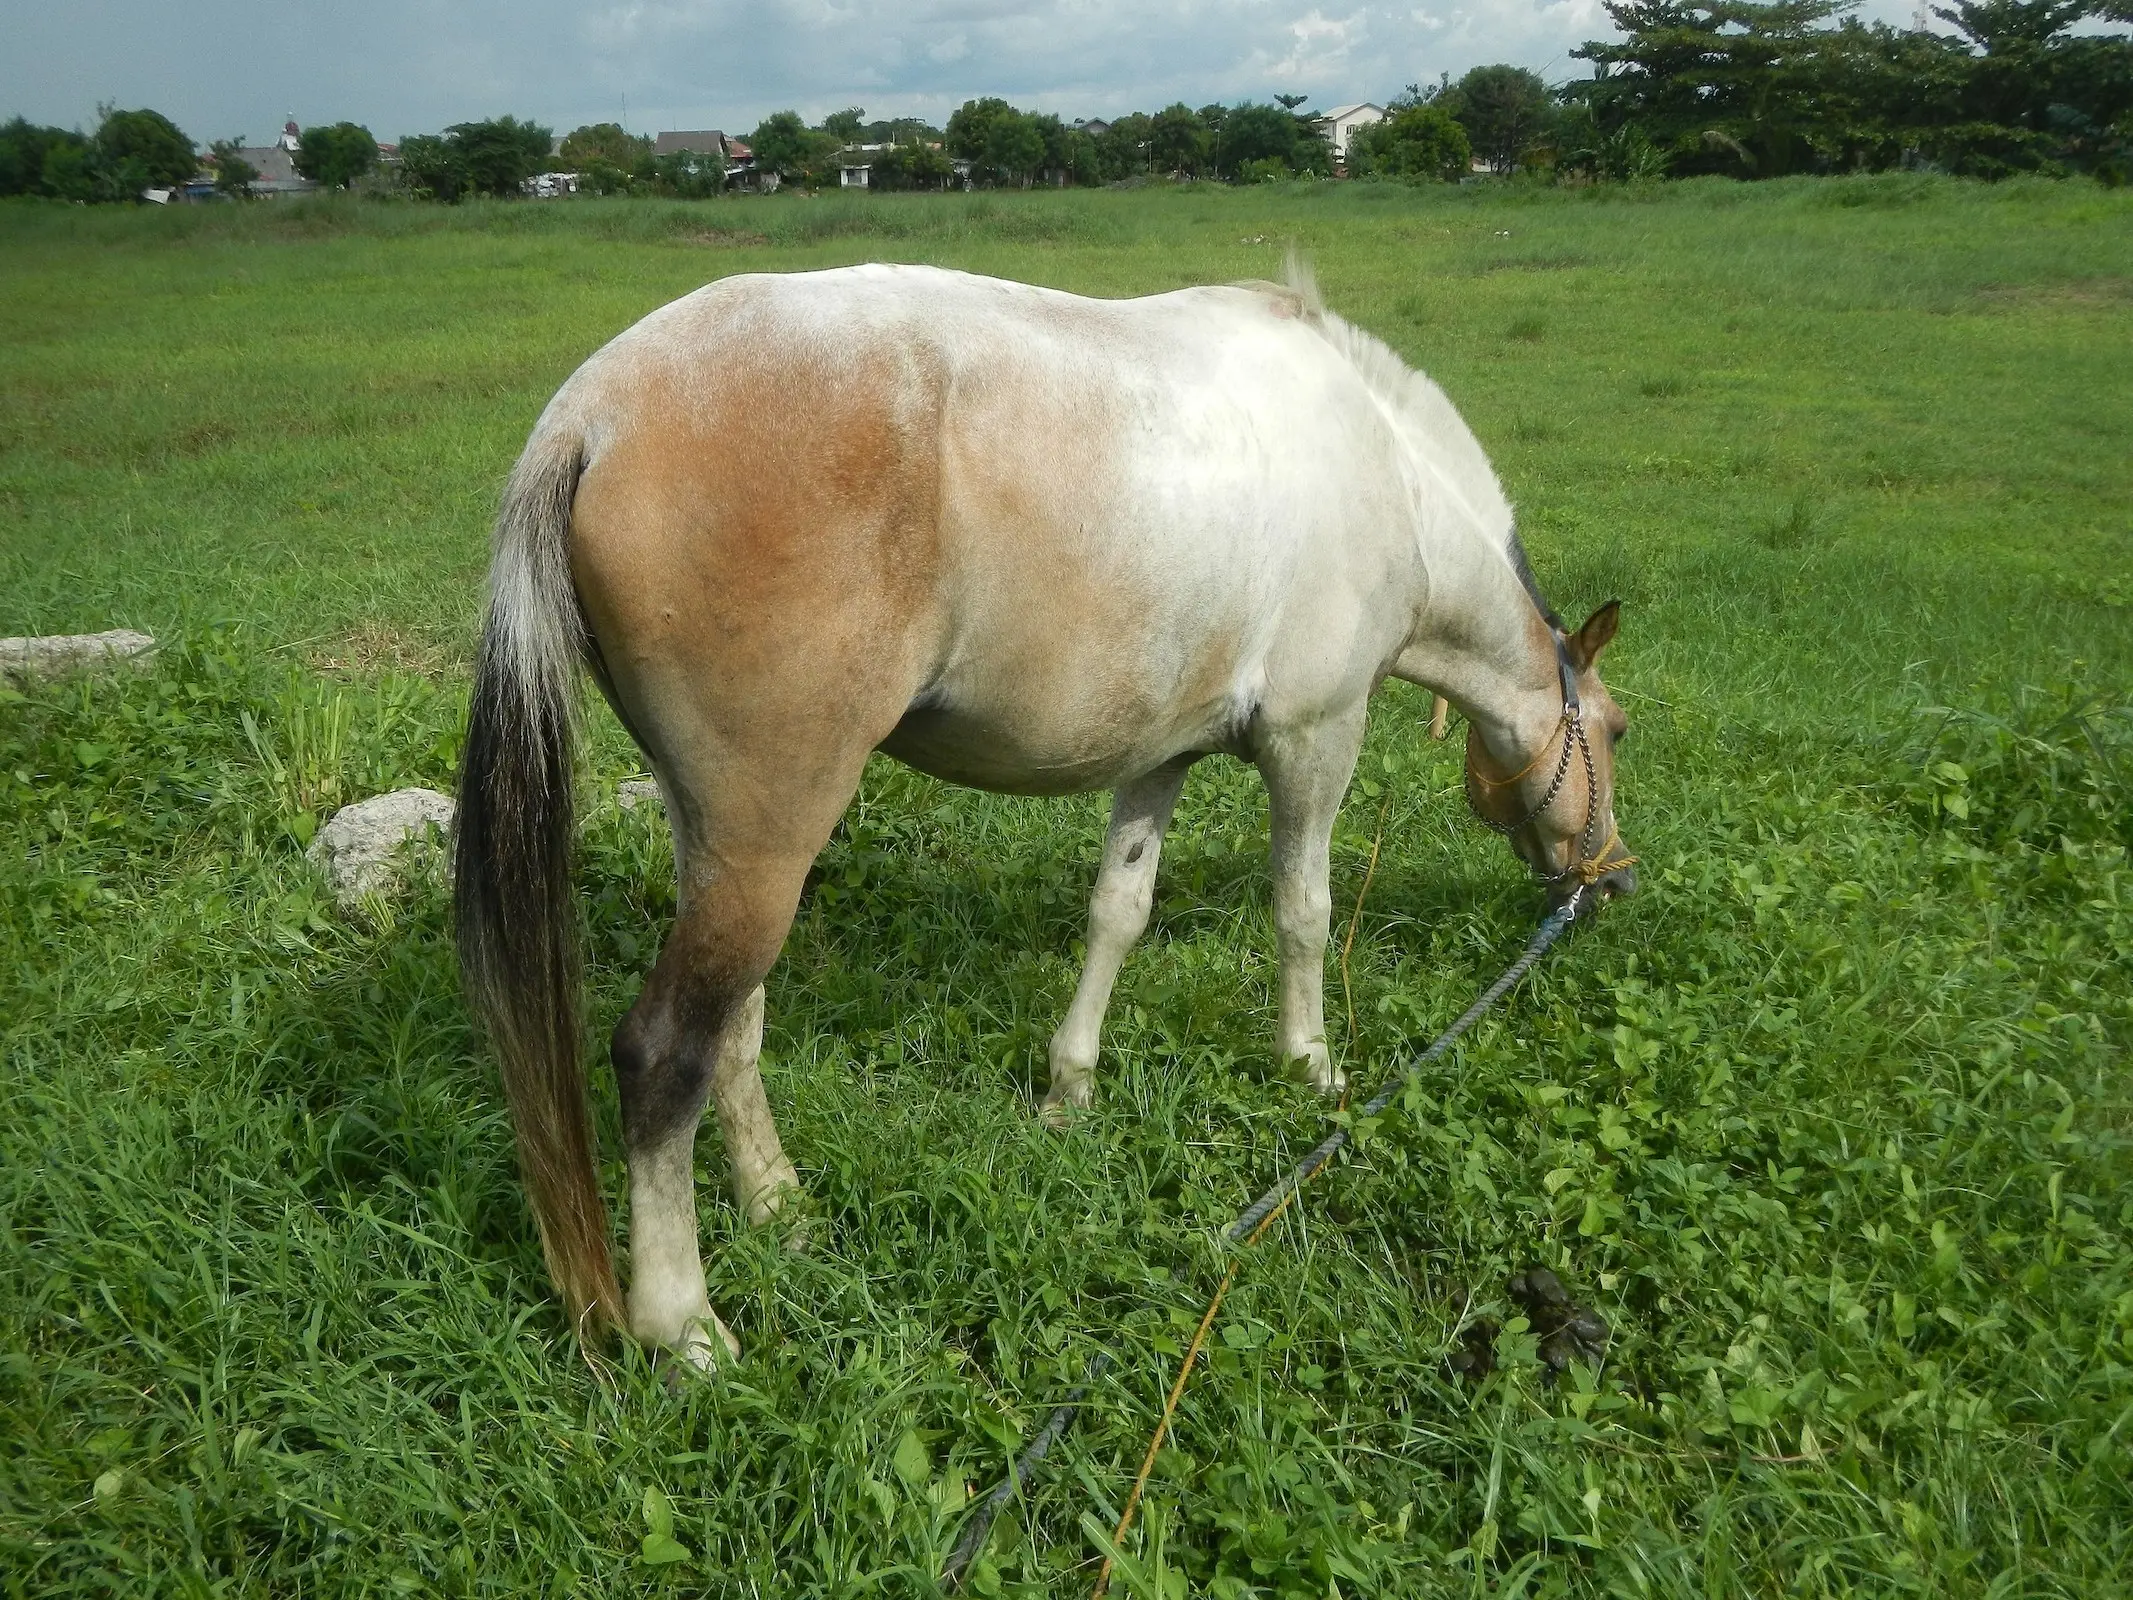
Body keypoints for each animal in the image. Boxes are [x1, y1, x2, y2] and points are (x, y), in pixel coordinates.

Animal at [458, 260, 1638, 1365]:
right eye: (1617, 732)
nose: (1611, 878)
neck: (1387, 472)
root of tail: (594, 411)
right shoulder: (1317, 738)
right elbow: (1302, 910)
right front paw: (1311, 1066)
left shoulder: (1159, 757)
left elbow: (1118, 913)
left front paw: (1070, 1088)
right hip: (768, 836)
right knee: (665, 1053)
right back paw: (686, 1329)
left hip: (727, 841)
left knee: (732, 1030)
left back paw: (779, 1206)